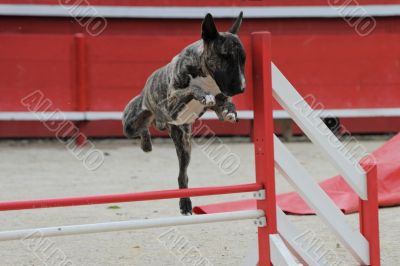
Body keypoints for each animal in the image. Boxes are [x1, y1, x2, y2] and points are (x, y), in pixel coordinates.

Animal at [122, 13, 247, 216]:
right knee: (141, 129)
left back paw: (186, 202)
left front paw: (231, 110)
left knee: (183, 175)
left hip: (184, 143)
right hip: (131, 124)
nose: (241, 89)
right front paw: (202, 94)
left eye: (243, 59)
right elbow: (191, 89)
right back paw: (146, 144)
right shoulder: (170, 104)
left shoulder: (219, 100)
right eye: (225, 56)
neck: (205, 75)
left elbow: (225, 104)